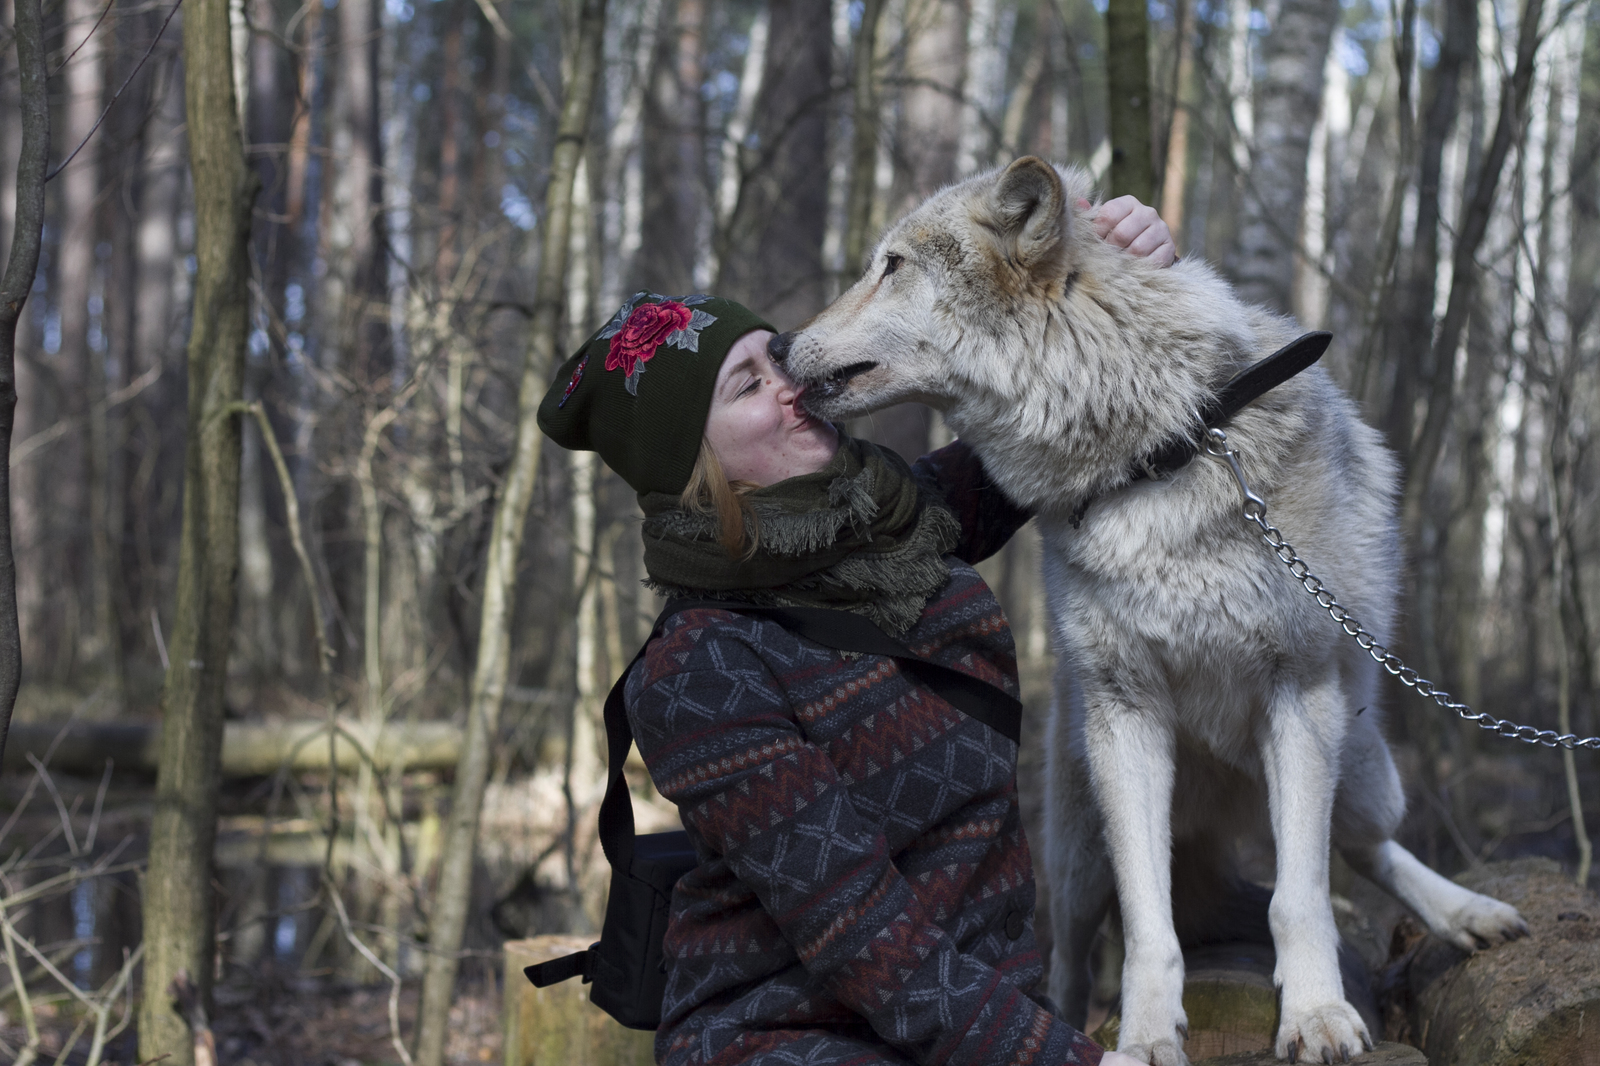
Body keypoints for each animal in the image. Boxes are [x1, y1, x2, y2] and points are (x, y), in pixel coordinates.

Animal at [768, 157, 1529, 1062]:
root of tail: (1219, 811)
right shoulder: (1124, 716)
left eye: (891, 266)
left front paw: (1315, 1016)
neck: (1157, 452)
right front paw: (1143, 1036)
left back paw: (1467, 913)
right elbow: (1147, 925)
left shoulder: (1301, 695)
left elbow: (1299, 898)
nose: (776, 344)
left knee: (1368, 851)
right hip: (1076, 842)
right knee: (1070, 955)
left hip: (1362, 768)